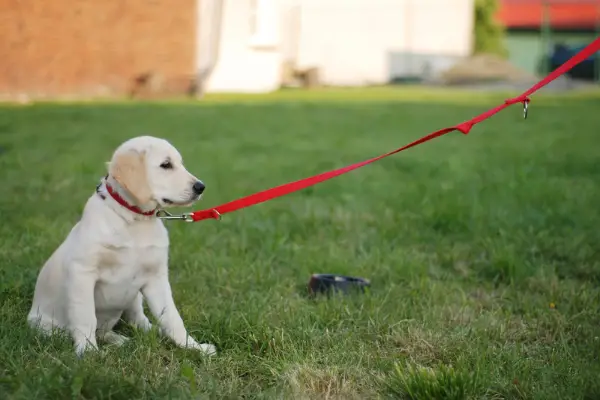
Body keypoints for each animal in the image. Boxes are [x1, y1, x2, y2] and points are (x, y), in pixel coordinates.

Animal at [27, 135, 218, 356]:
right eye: (166, 165)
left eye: (180, 163)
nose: (201, 187)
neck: (134, 219)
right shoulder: (82, 273)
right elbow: (86, 317)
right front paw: (89, 352)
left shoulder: (156, 277)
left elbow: (172, 317)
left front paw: (193, 347)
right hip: (43, 325)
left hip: (134, 297)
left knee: (137, 320)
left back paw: (135, 337)